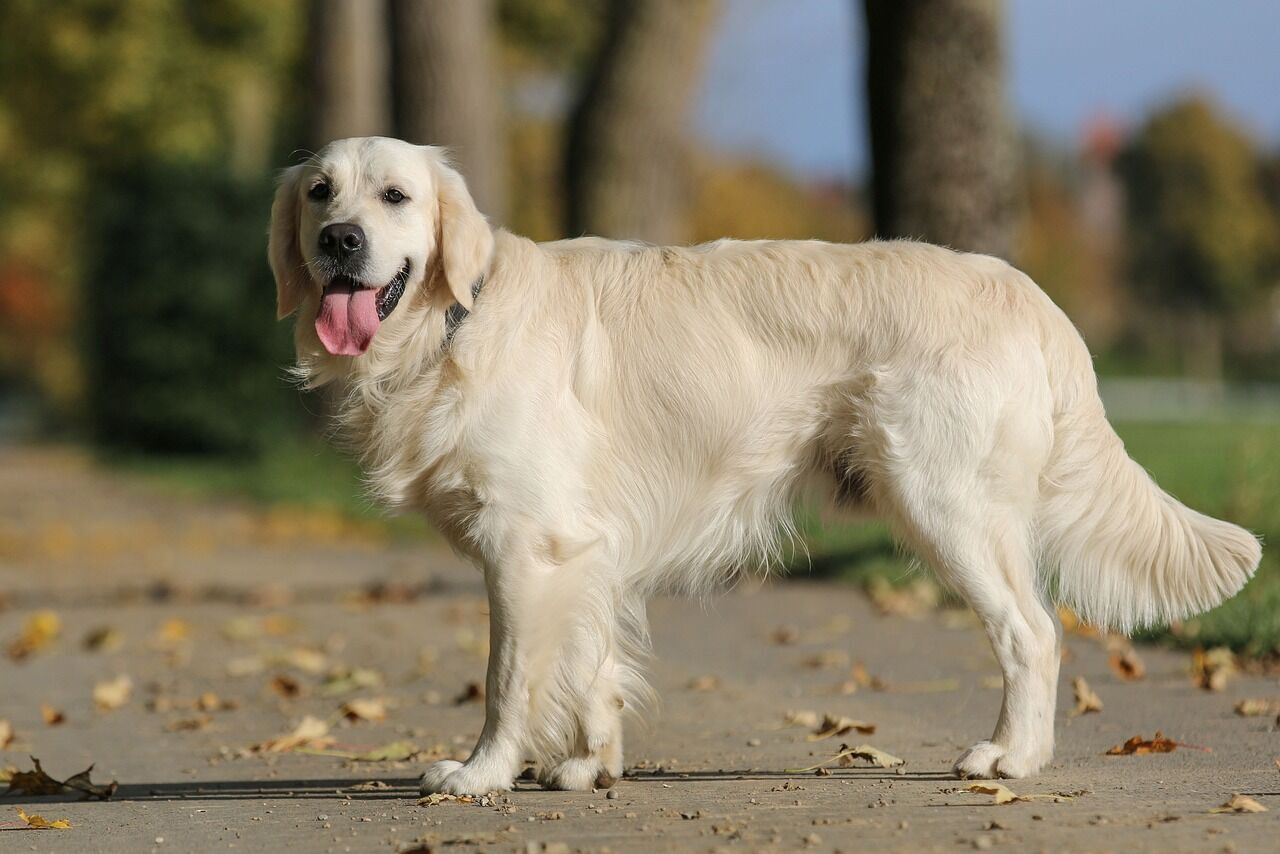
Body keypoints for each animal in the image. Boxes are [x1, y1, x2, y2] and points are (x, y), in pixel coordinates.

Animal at [267, 135, 1259, 793]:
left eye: (395, 197)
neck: (456, 320)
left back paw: (1009, 758)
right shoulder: (580, 546)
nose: (340, 241)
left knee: (1033, 632)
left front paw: (480, 774)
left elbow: (509, 677)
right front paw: (589, 764)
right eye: (320, 192)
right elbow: (590, 662)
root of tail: (1032, 298)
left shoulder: (524, 544)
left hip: (946, 504)